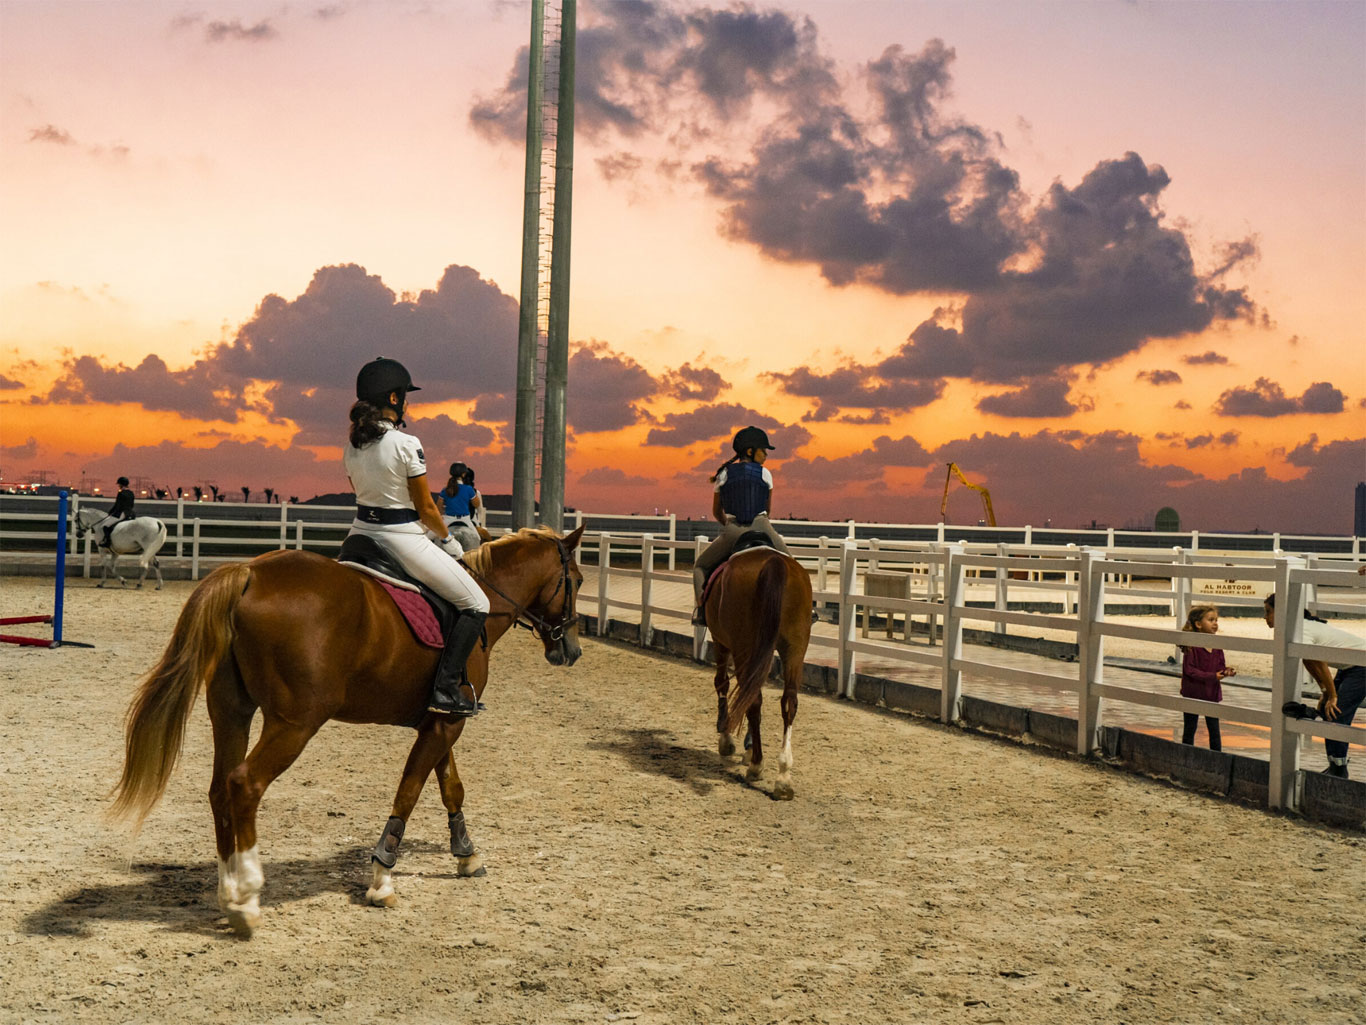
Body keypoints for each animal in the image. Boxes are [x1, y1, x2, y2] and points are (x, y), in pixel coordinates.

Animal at [110, 525, 585, 937]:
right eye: (577, 581)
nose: (572, 651)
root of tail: (250, 573)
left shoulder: (440, 718)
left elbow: (450, 785)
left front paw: (466, 855)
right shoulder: (447, 722)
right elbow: (410, 791)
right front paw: (382, 878)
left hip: (231, 712)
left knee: (219, 789)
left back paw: (228, 892)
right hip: (295, 724)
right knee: (245, 784)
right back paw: (246, 898)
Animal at [701, 543, 813, 800]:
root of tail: (774, 562)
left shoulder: (721, 642)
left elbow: (722, 684)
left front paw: (727, 739)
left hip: (743, 646)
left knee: (752, 700)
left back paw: (756, 765)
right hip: (795, 648)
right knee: (789, 702)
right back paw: (783, 777)